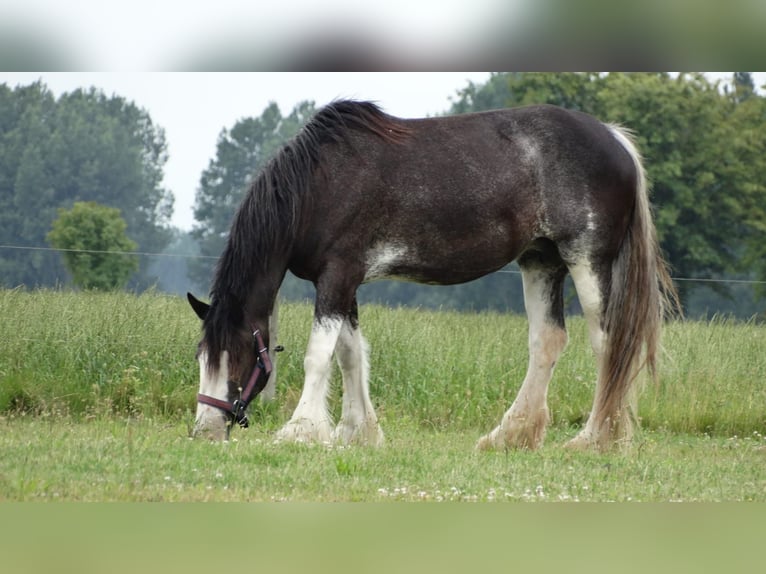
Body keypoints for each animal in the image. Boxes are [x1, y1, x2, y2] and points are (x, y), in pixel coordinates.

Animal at [186, 98, 680, 450]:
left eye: (235, 355)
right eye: (201, 356)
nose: (205, 431)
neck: (321, 185)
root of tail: (613, 136)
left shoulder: (337, 276)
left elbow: (319, 355)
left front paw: (301, 430)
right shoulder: (347, 284)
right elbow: (351, 353)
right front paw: (360, 432)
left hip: (587, 261)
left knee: (608, 344)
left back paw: (594, 439)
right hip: (541, 261)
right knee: (547, 341)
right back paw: (510, 436)